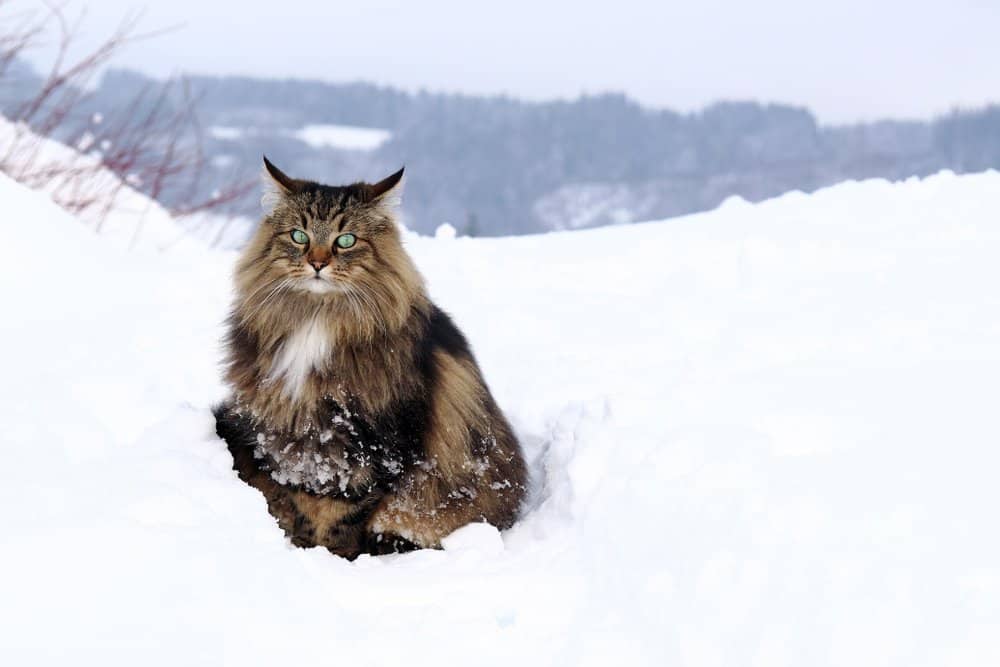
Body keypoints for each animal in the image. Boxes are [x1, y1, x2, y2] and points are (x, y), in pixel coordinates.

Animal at [214, 157, 528, 560]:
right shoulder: (289, 436)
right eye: (299, 236)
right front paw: (305, 547)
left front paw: (336, 557)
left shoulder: (379, 443)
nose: (317, 263)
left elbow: (347, 511)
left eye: (345, 240)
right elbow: (301, 500)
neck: (317, 318)